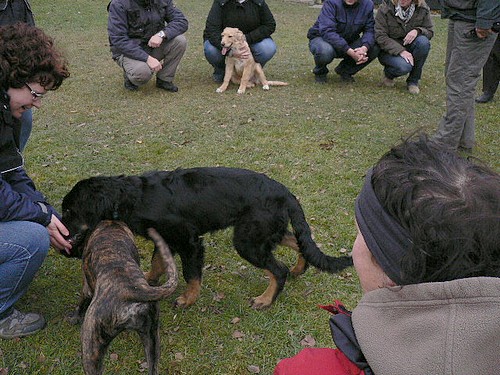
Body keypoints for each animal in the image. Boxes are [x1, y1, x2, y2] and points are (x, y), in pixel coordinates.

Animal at [62, 169, 352, 310]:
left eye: (69, 212)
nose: (61, 230)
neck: (133, 197)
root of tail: (286, 193)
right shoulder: (166, 240)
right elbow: (157, 263)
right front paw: (148, 280)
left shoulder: (189, 241)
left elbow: (191, 274)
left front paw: (187, 299)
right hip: (260, 232)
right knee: (297, 241)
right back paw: (299, 268)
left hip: (247, 240)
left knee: (277, 269)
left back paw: (265, 299)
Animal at [68, 220, 178, 375]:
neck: (111, 223)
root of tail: (132, 290)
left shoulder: (87, 289)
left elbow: (80, 304)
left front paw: (75, 317)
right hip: (152, 342)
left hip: (91, 350)